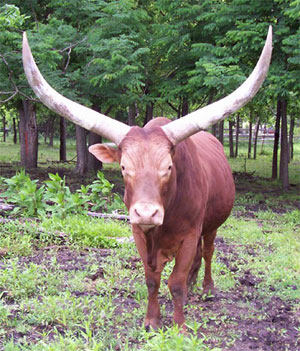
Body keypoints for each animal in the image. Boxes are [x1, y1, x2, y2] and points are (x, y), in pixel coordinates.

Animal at [22, 26, 274, 330]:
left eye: (168, 167)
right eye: (123, 167)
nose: (146, 213)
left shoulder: (189, 233)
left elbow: (175, 281)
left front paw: (179, 325)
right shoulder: (138, 234)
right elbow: (152, 279)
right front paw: (152, 320)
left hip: (212, 223)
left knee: (209, 251)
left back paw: (206, 288)